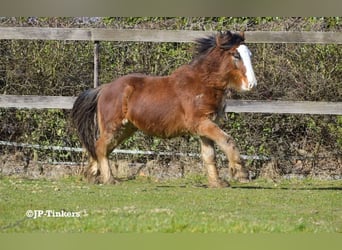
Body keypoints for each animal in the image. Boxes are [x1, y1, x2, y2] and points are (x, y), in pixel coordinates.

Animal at [71, 30, 256, 188]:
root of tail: (104, 88)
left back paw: (92, 174)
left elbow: (209, 155)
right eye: (236, 55)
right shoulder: (200, 123)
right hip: (113, 126)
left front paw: (217, 182)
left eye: (250, 55)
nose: (252, 84)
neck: (203, 83)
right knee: (100, 147)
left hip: (126, 129)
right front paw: (241, 173)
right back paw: (109, 179)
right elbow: (227, 141)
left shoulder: (206, 125)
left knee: (101, 149)